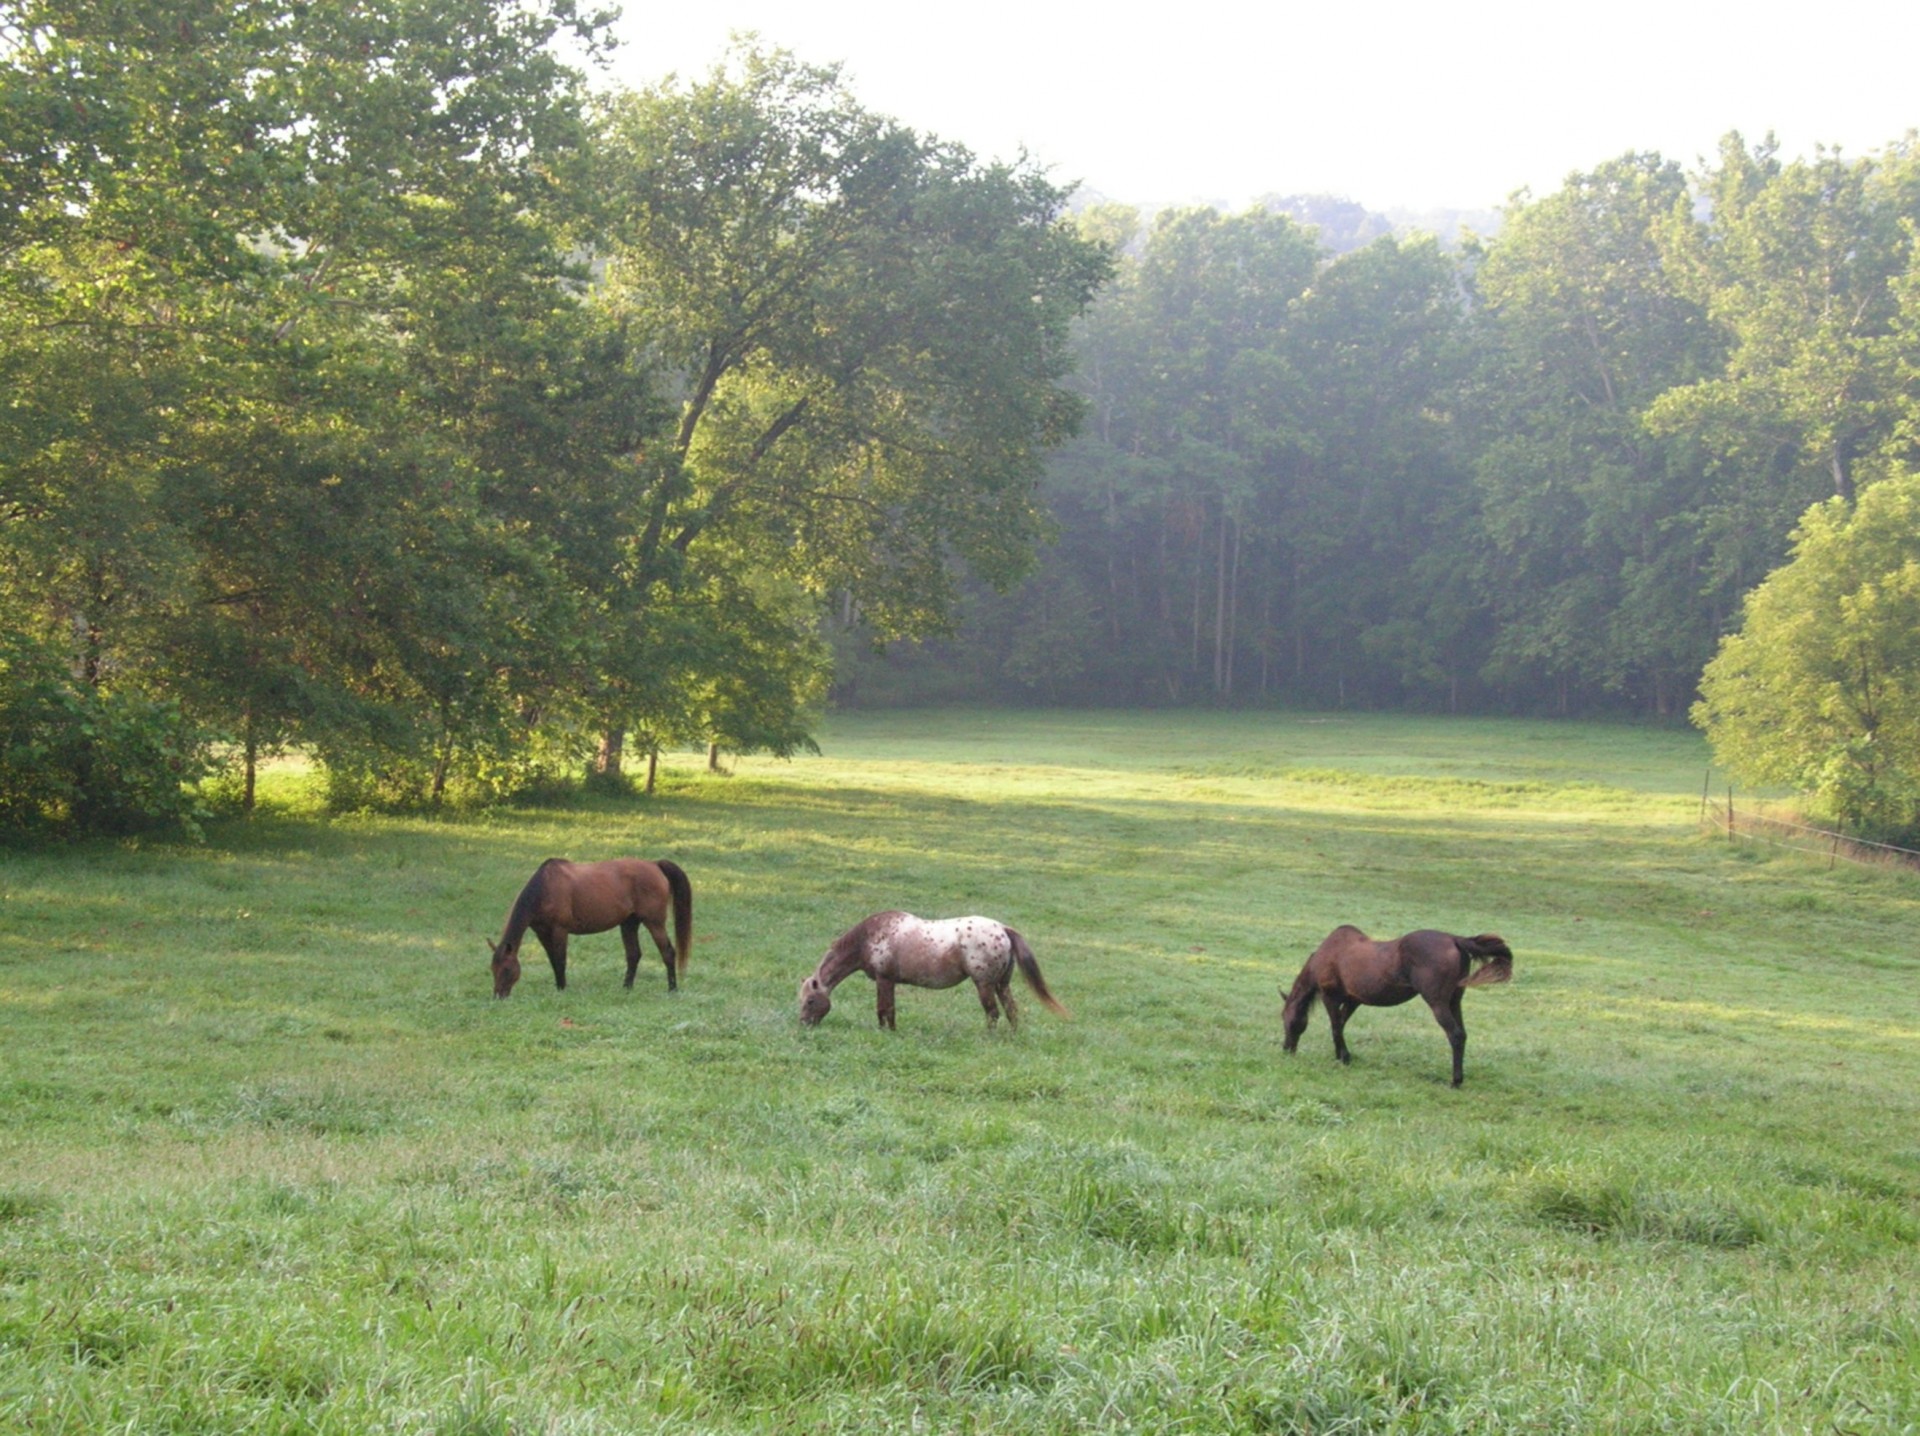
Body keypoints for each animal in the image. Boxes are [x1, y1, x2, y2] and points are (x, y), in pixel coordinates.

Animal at [487, 852, 691, 998]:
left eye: (506, 969)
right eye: (492, 969)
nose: (498, 996)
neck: (545, 888)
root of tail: (654, 865)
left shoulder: (560, 930)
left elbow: (560, 960)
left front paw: (562, 989)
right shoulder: (542, 932)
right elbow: (553, 960)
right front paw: (559, 987)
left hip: (654, 922)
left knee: (668, 952)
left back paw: (672, 989)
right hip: (629, 923)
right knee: (633, 955)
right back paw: (626, 988)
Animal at [794, 909, 1067, 1029]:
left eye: (810, 1001)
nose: (804, 1023)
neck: (868, 939)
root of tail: (1003, 929)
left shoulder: (885, 979)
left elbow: (885, 1009)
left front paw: (887, 1033)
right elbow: (885, 1010)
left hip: (984, 984)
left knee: (992, 1013)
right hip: (1002, 984)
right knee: (1011, 1011)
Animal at [1282, 925, 1505, 1082]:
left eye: (1285, 1019)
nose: (1286, 1049)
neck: (1328, 954)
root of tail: (1454, 939)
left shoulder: (1330, 997)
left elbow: (1336, 1027)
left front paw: (1343, 1057)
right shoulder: (1354, 1001)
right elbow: (1341, 1026)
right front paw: (1341, 1055)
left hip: (1438, 1003)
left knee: (1455, 1035)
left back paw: (1455, 1081)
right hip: (1454, 1001)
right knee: (1463, 1034)